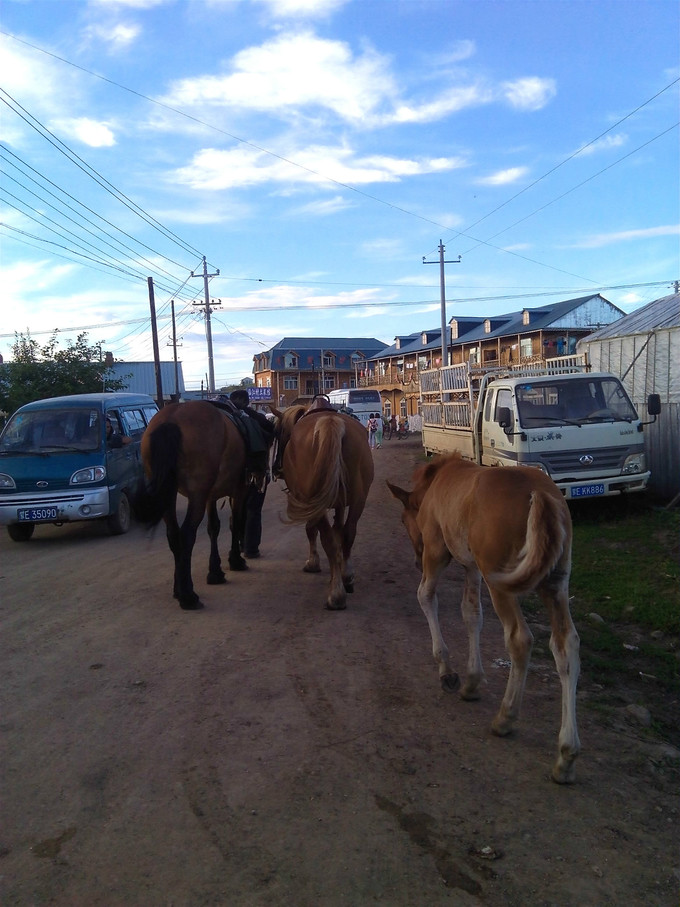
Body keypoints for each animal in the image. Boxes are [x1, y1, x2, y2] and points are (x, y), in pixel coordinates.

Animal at [136, 402, 260, 612]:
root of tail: (171, 419)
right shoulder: (239, 490)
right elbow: (235, 522)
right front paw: (235, 560)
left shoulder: (210, 496)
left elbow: (213, 528)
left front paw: (215, 571)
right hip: (197, 495)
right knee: (186, 534)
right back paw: (188, 596)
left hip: (170, 493)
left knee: (174, 535)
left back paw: (179, 589)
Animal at [272, 400, 378, 608]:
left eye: (279, 432)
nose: (276, 468)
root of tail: (330, 422)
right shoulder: (339, 503)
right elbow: (339, 532)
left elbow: (312, 530)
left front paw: (313, 562)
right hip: (358, 498)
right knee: (349, 533)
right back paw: (346, 576)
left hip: (316, 501)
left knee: (327, 538)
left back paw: (336, 593)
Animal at [388, 458, 580, 784]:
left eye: (404, 520)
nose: (415, 559)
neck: (436, 483)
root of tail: (539, 493)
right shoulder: (472, 567)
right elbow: (471, 614)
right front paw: (472, 682)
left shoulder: (437, 550)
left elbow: (425, 596)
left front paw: (448, 671)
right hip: (555, 584)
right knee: (566, 645)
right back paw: (566, 755)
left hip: (501, 580)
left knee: (519, 638)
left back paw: (505, 718)